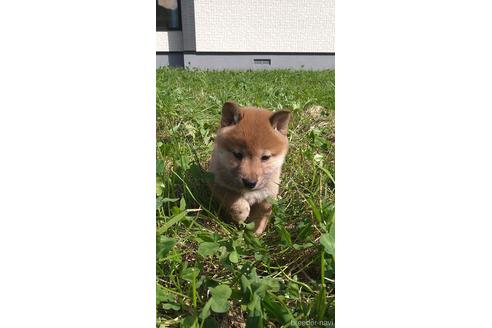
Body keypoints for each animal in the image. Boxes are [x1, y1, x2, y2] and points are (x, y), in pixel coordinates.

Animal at [209, 101, 292, 234]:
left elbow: (260, 217)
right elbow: (233, 198)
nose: (250, 182)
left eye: (265, 157)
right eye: (237, 154)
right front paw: (241, 214)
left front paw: (255, 233)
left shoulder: (267, 197)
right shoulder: (217, 184)